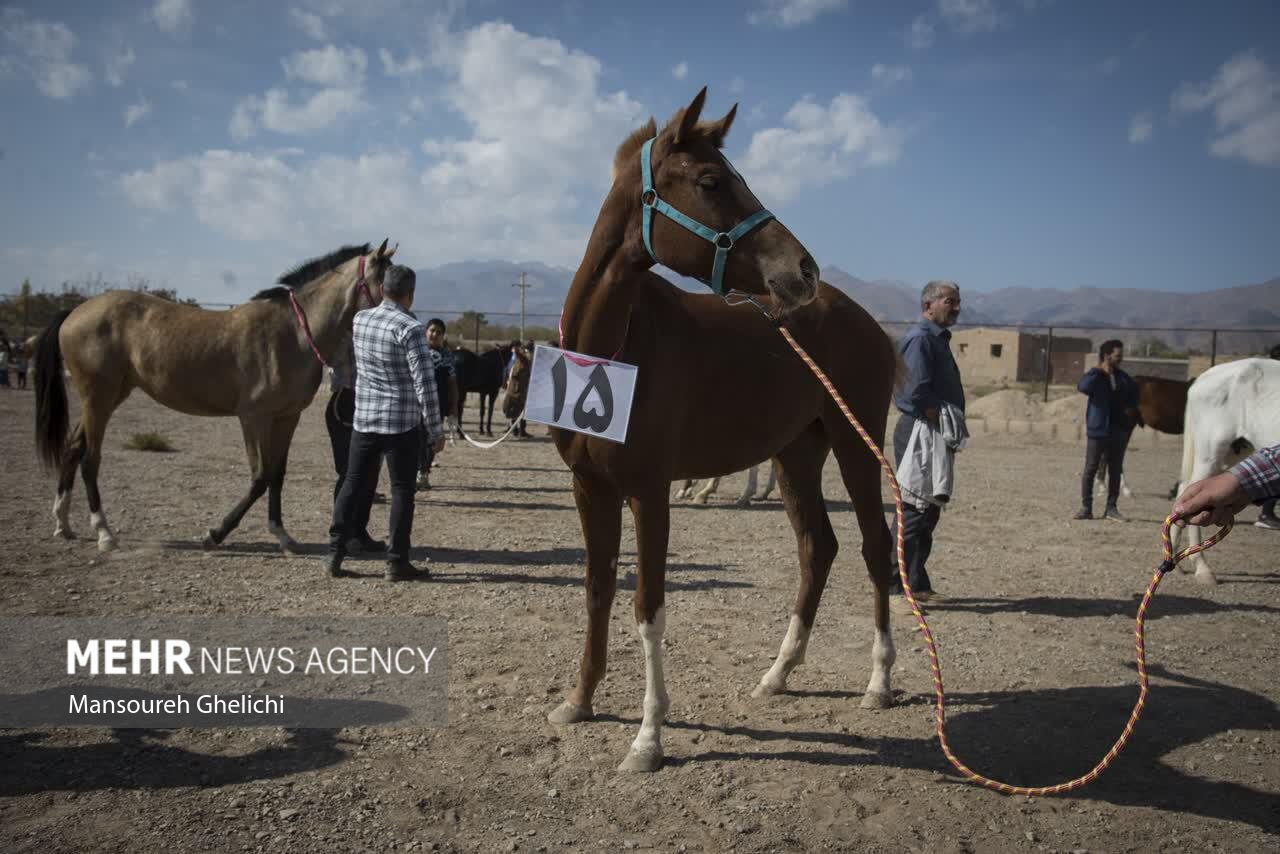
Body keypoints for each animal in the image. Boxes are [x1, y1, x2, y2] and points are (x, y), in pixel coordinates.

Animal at [33, 239, 394, 555]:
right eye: (387, 280)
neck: (293, 333)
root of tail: (75, 312)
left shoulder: (286, 417)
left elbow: (277, 474)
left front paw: (283, 536)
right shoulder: (253, 417)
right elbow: (260, 477)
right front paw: (215, 534)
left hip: (111, 395)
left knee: (73, 447)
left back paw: (63, 523)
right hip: (99, 397)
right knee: (90, 458)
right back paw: (104, 533)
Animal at [550, 88, 901, 773]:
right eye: (711, 181)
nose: (804, 269)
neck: (613, 347)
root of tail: (865, 320)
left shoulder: (650, 492)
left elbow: (648, 606)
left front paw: (648, 738)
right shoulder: (589, 488)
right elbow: (598, 589)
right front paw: (579, 700)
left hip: (856, 447)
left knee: (876, 550)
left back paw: (878, 682)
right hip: (797, 455)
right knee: (818, 548)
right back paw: (778, 673)